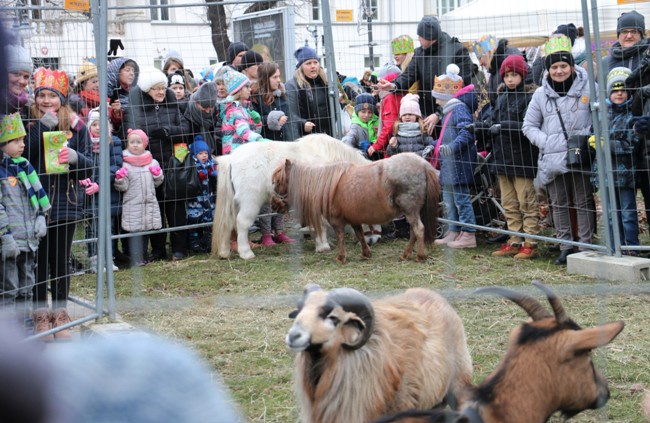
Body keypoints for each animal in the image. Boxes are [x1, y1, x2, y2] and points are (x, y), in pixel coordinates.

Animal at [210, 135, 368, 262]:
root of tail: (231, 158)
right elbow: (321, 223)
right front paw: (323, 246)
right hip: (250, 202)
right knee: (242, 223)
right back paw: (246, 253)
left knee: (228, 224)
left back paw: (224, 252)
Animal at [268, 152, 440, 264]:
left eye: (279, 181)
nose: (273, 204)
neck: (325, 185)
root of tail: (423, 164)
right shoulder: (354, 218)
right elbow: (360, 235)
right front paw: (366, 254)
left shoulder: (337, 221)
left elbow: (341, 237)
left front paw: (341, 257)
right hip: (412, 212)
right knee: (413, 232)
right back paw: (405, 255)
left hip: (410, 211)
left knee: (418, 230)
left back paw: (420, 256)